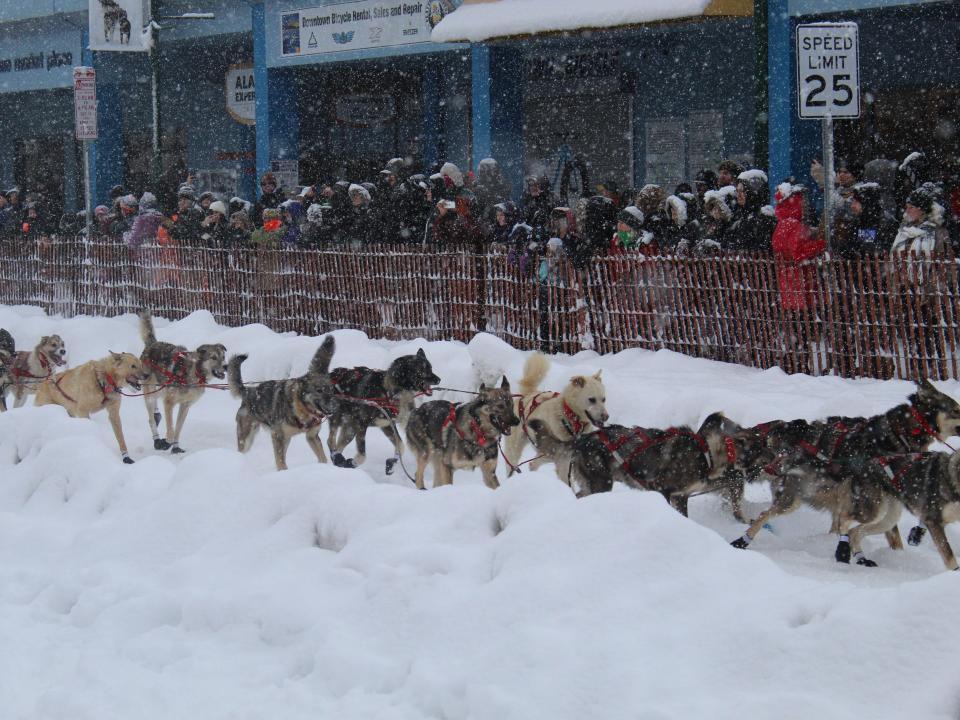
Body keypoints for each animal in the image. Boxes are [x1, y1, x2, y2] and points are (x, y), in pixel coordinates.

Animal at [138, 310, 228, 456]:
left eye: (223, 357)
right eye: (213, 357)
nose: (226, 366)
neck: (195, 372)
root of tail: (152, 344)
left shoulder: (185, 406)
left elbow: (178, 428)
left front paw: (175, 447)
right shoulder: (169, 403)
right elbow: (171, 427)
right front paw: (167, 441)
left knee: (155, 413)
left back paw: (158, 417)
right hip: (149, 392)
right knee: (151, 419)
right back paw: (157, 440)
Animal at [229, 338, 342, 472]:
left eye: (331, 390)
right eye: (319, 390)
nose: (335, 406)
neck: (302, 410)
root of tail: (248, 391)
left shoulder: (312, 436)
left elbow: (323, 458)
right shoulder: (277, 436)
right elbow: (281, 463)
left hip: (286, 439)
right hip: (247, 438)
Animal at [502, 352, 608, 486]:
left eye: (603, 399)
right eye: (592, 399)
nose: (606, 416)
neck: (570, 418)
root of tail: (527, 395)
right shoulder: (564, 461)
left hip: (545, 453)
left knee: (533, 463)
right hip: (516, 450)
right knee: (513, 465)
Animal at [568, 410, 752, 512]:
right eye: (741, 434)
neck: (705, 452)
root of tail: (581, 440)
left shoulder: (681, 496)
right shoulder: (661, 488)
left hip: (591, 484)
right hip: (601, 482)